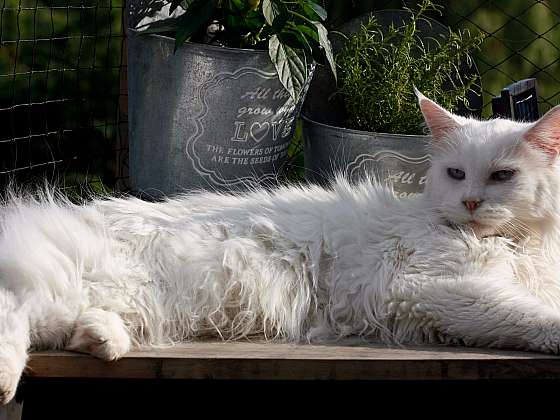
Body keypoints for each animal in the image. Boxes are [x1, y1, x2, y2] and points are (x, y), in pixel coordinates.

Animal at [1, 92, 560, 404]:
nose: (470, 201)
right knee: (13, 317)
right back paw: (7, 380)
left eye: (503, 176)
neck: (518, 246)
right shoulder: (427, 289)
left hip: (112, 300)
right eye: (457, 173)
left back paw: (102, 340)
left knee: (71, 328)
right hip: (59, 283)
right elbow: (520, 315)